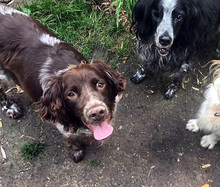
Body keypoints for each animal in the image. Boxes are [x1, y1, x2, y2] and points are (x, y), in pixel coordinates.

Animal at [0, 4, 125, 162]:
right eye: (71, 94)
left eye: (100, 84)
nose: (97, 112)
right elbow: (73, 139)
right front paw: (77, 151)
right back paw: (11, 108)